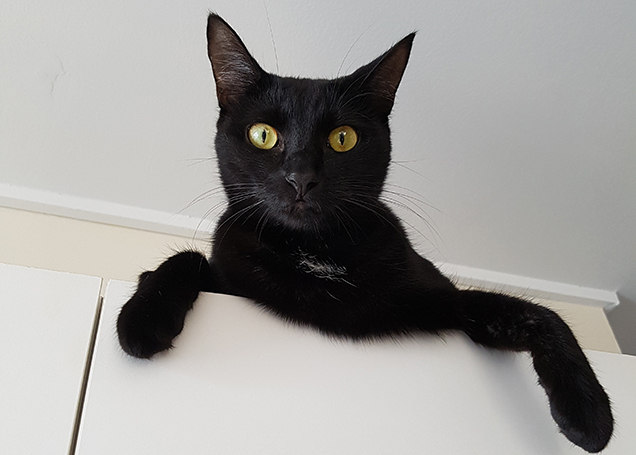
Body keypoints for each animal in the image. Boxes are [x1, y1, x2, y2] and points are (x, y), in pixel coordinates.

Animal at [118, 13, 612, 452]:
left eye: (343, 138)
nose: (301, 177)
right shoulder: (228, 277)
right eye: (263, 134)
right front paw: (142, 320)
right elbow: (186, 258)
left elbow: (542, 314)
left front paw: (590, 417)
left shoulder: (448, 303)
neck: (314, 252)